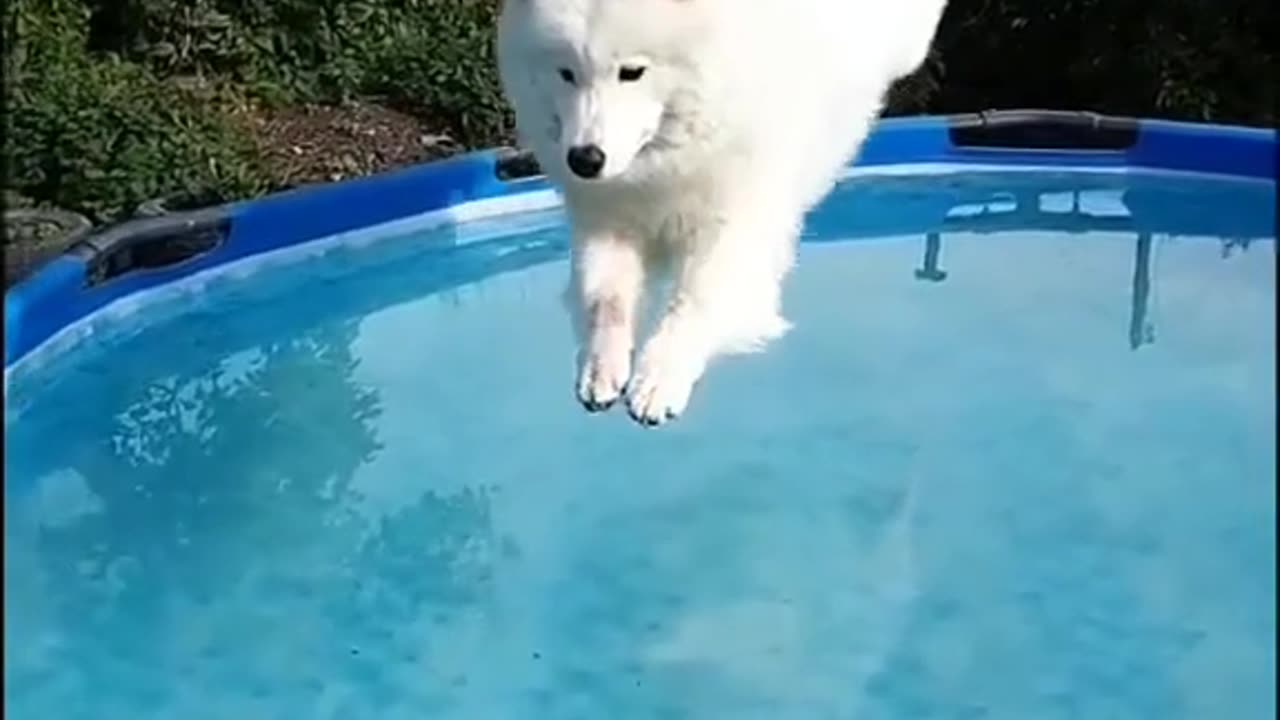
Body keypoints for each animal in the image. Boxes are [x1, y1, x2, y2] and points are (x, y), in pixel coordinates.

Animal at [494, 0, 947, 422]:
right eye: (566, 73)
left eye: (632, 72)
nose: (584, 160)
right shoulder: (609, 221)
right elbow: (605, 300)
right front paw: (600, 366)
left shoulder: (733, 229)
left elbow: (693, 302)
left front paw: (659, 377)